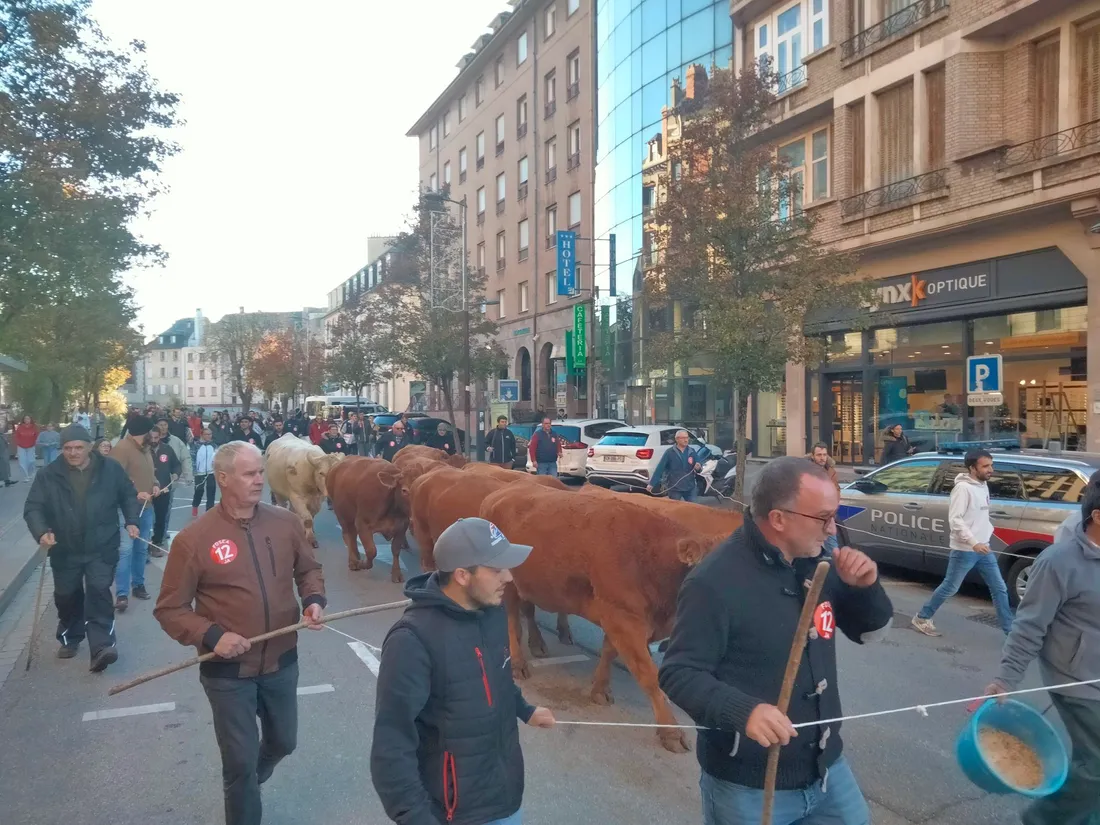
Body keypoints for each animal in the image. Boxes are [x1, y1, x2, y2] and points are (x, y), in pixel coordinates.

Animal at [479, 484, 717, 756]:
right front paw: (671, 732)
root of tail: (502, 491)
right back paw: (518, 664)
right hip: (506, 584)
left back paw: (538, 645)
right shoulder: (625, 620)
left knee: (527, 610)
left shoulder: (616, 617)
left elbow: (609, 651)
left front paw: (600, 688)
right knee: (512, 622)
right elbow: (650, 677)